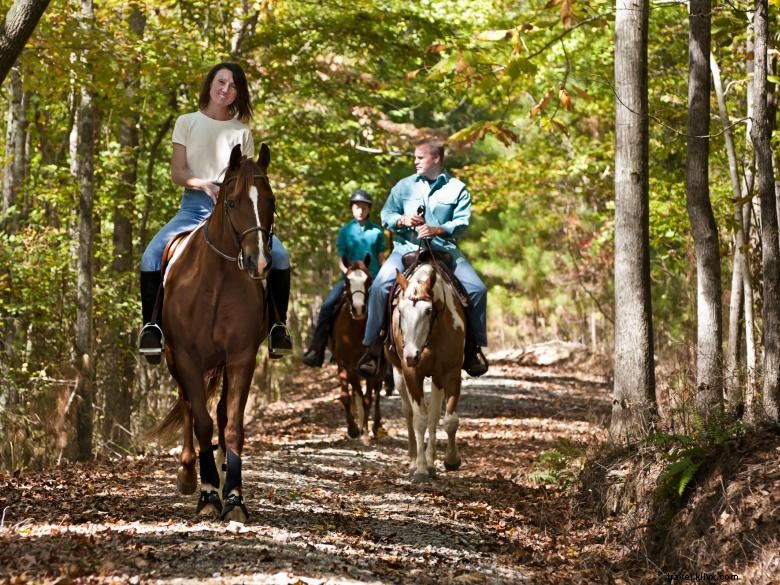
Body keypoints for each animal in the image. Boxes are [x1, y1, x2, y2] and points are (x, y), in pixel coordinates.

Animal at [154, 141, 276, 520]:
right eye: (232, 202)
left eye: (270, 202)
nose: (259, 263)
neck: (217, 282)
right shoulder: (187, 357)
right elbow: (202, 421)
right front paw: (208, 496)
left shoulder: (240, 358)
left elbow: (232, 424)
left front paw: (234, 497)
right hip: (174, 359)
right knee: (189, 406)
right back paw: (188, 473)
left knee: (220, 413)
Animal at [330, 254, 384, 438]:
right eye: (347, 281)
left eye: (369, 281)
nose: (359, 309)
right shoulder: (346, 364)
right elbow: (349, 395)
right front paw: (353, 429)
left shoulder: (372, 366)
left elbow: (368, 397)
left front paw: (365, 429)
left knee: (377, 392)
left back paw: (375, 426)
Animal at [386, 258, 466, 482]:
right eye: (400, 311)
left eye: (428, 311)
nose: (411, 356)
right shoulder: (411, 373)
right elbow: (419, 419)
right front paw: (420, 470)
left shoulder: (451, 372)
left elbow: (448, 420)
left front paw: (451, 460)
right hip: (398, 374)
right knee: (409, 413)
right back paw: (415, 461)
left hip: (437, 379)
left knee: (433, 415)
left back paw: (431, 463)